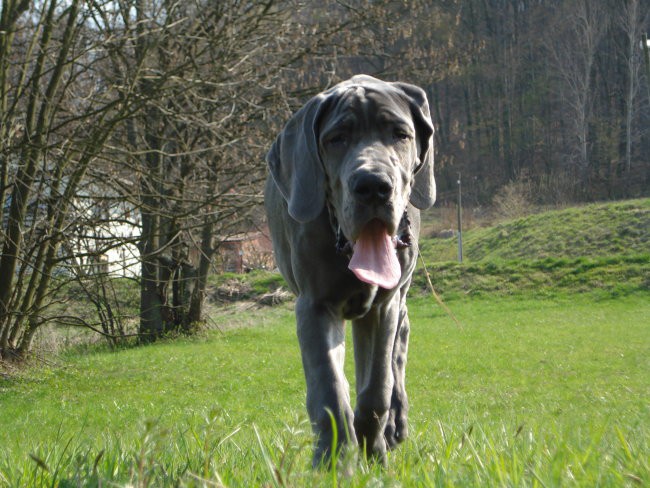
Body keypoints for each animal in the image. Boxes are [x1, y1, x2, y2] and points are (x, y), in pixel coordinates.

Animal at [264, 75, 436, 466]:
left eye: (400, 134)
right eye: (336, 138)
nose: (373, 186)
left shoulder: (383, 307)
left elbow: (377, 388)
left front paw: (374, 453)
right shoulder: (315, 306)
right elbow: (329, 387)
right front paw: (335, 460)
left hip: (397, 299)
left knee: (397, 353)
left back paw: (394, 426)